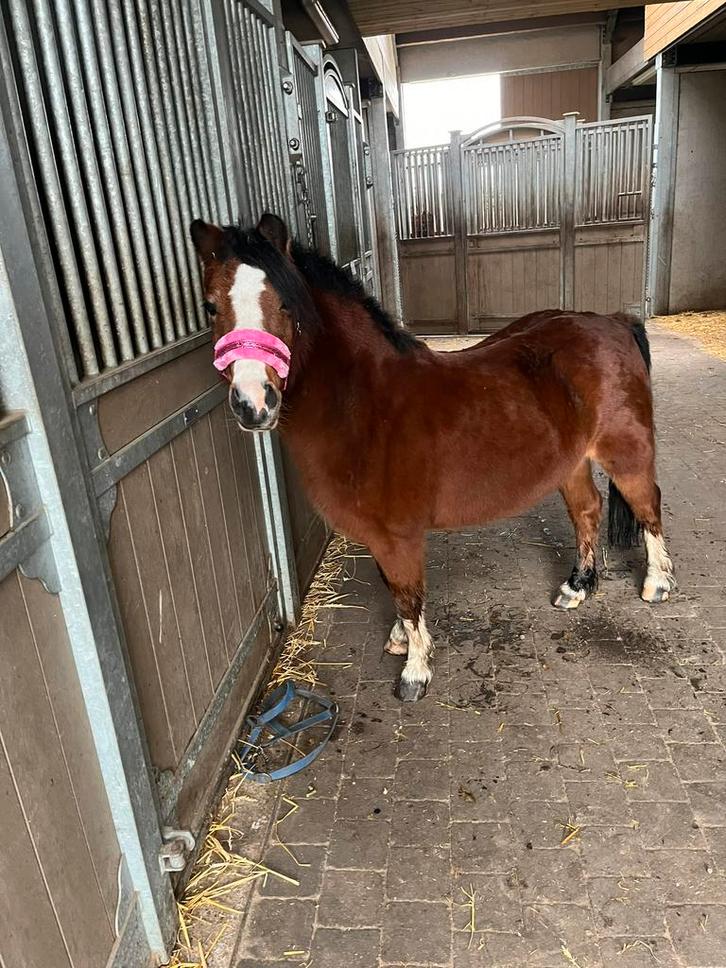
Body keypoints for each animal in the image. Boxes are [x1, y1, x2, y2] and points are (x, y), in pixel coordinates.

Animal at [190, 212, 676, 703]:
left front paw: (415, 671)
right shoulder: (382, 538)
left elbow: (407, 594)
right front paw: (402, 640)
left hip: (626, 451)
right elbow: (394, 589)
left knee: (647, 504)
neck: (366, 406)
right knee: (587, 510)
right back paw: (577, 586)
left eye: (286, 304)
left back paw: (656, 584)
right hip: (572, 462)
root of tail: (614, 322)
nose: (253, 403)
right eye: (211, 307)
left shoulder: (398, 535)